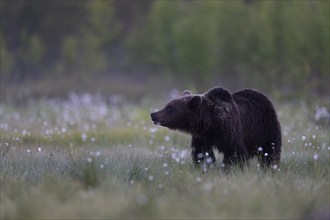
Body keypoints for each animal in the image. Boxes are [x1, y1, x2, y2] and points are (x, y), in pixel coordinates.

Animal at [150, 87, 282, 169]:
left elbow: (235, 153)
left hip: (265, 128)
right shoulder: (202, 137)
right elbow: (202, 153)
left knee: (271, 152)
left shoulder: (230, 131)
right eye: (167, 105)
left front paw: (230, 169)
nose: (153, 114)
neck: (211, 124)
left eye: (169, 108)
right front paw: (206, 167)